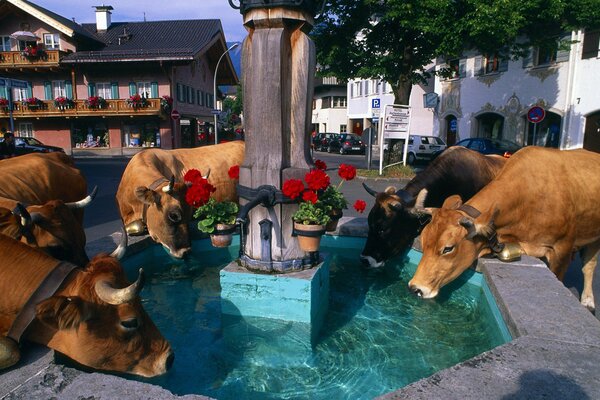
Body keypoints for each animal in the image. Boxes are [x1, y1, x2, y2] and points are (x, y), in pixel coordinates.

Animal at [410, 147, 600, 312]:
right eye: (423, 241)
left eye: (448, 248)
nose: (415, 288)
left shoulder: (562, 250)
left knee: (589, 265)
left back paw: (588, 301)